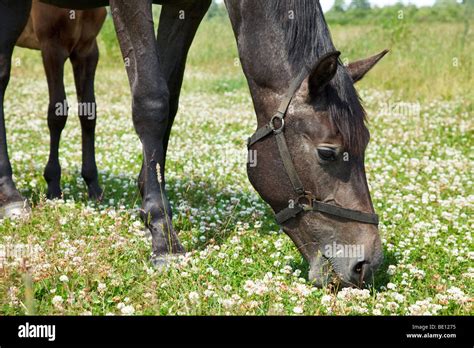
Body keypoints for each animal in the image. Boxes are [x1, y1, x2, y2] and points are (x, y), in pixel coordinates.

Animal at [16, 0, 107, 201]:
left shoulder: (87, 50)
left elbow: (88, 112)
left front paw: (93, 183)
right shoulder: (52, 48)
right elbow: (58, 112)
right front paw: (53, 184)